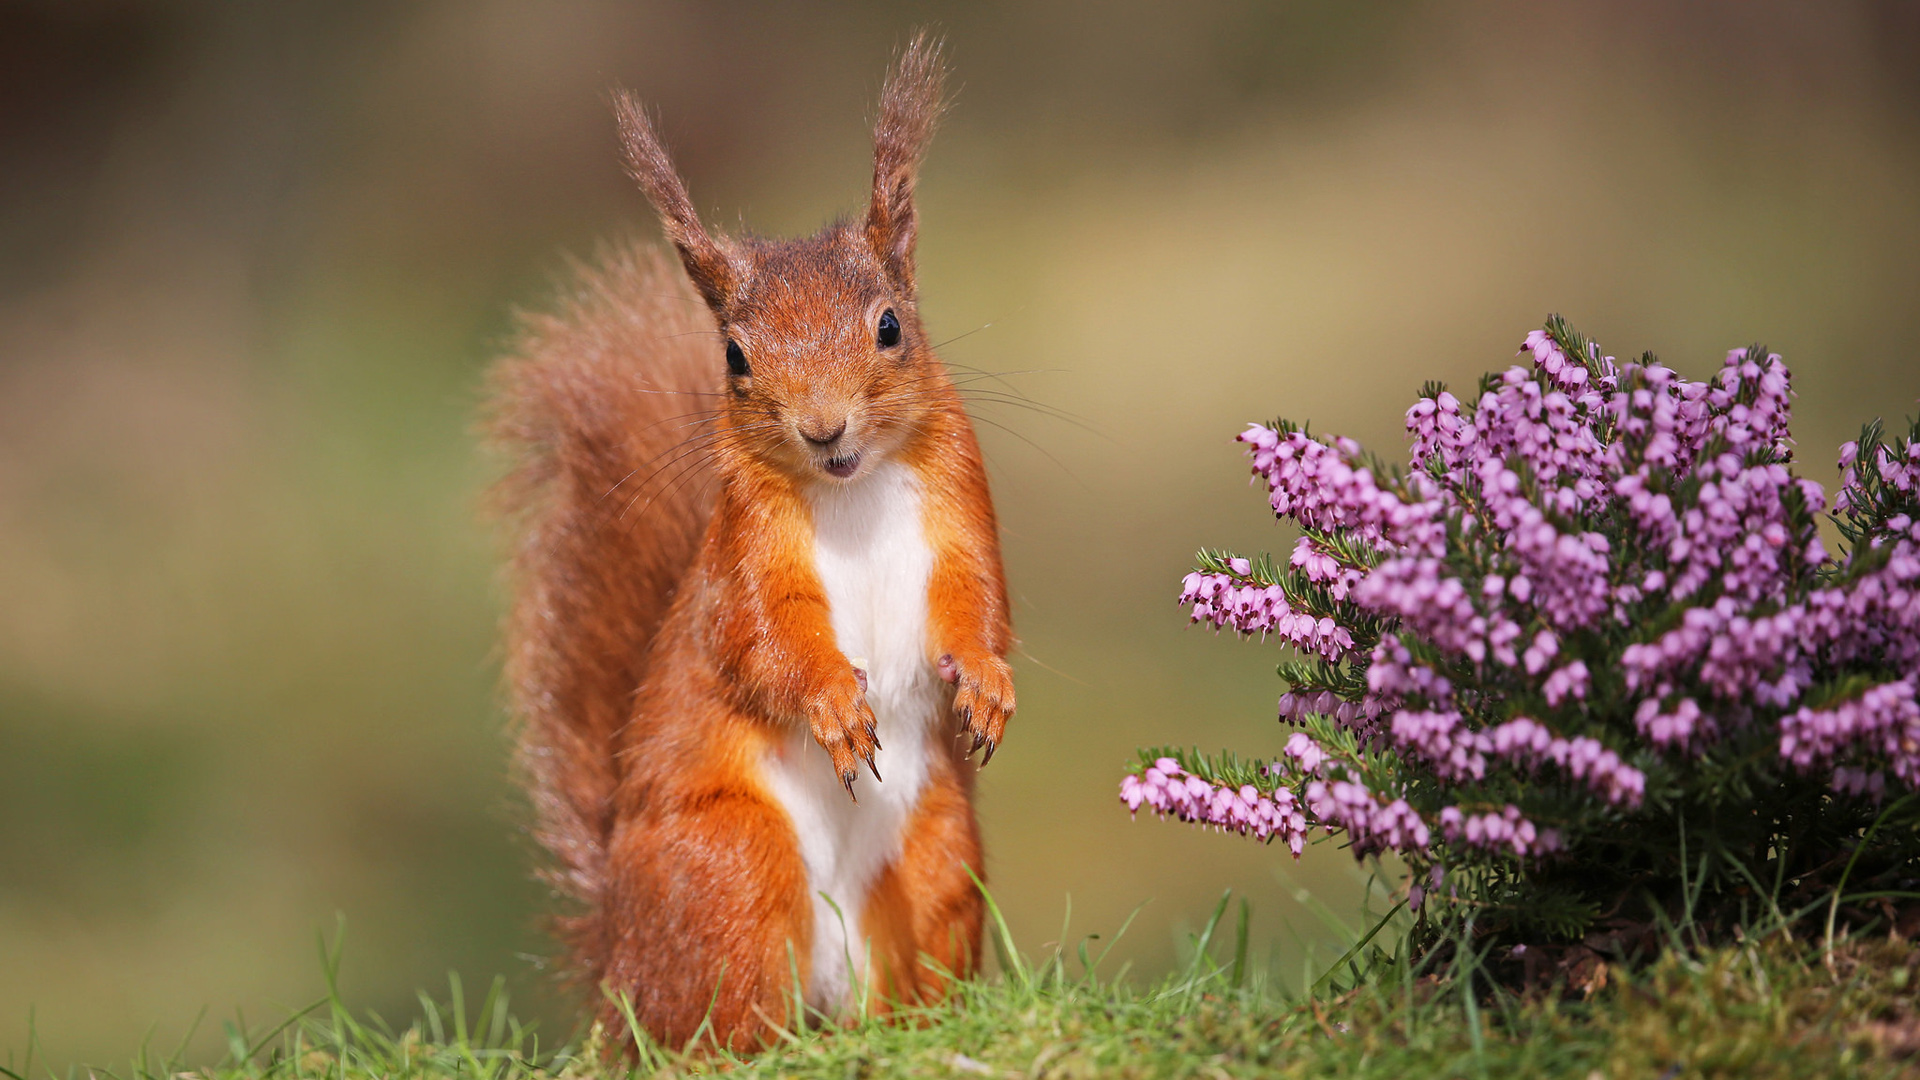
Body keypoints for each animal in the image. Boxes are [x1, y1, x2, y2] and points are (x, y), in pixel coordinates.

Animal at [487, 37, 1013, 1045]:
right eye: (734, 356)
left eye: (891, 326)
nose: (822, 428)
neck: (851, 492)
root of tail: (617, 963)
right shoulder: (744, 552)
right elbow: (762, 640)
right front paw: (836, 708)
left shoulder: (960, 503)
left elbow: (977, 601)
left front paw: (987, 687)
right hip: (732, 864)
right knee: (725, 1019)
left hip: (937, 853)